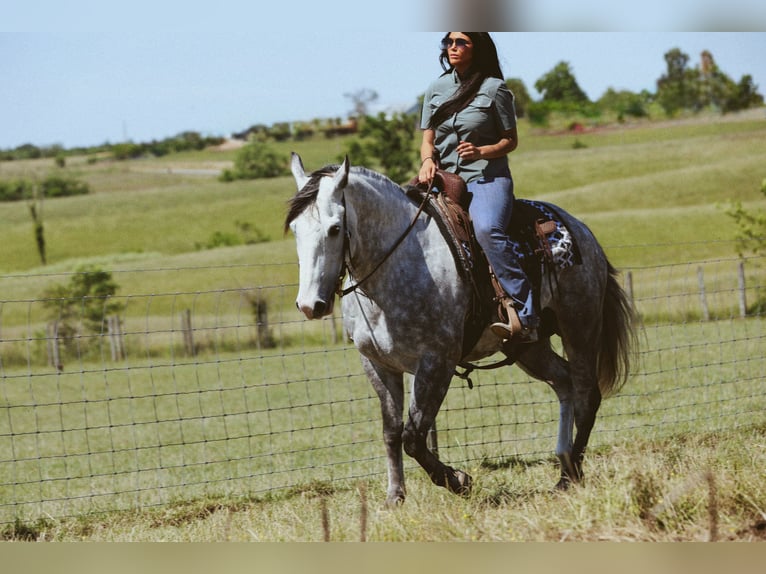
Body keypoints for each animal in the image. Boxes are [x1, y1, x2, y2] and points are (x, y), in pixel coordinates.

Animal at [285, 153, 635, 505]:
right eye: (295, 228)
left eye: (335, 228)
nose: (310, 305)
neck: (400, 265)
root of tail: (580, 229)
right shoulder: (377, 364)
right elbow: (391, 432)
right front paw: (395, 497)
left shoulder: (436, 362)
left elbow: (413, 437)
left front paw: (458, 480)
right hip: (527, 346)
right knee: (563, 382)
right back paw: (563, 466)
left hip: (581, 326)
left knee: (587, 395)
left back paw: (571, 471)